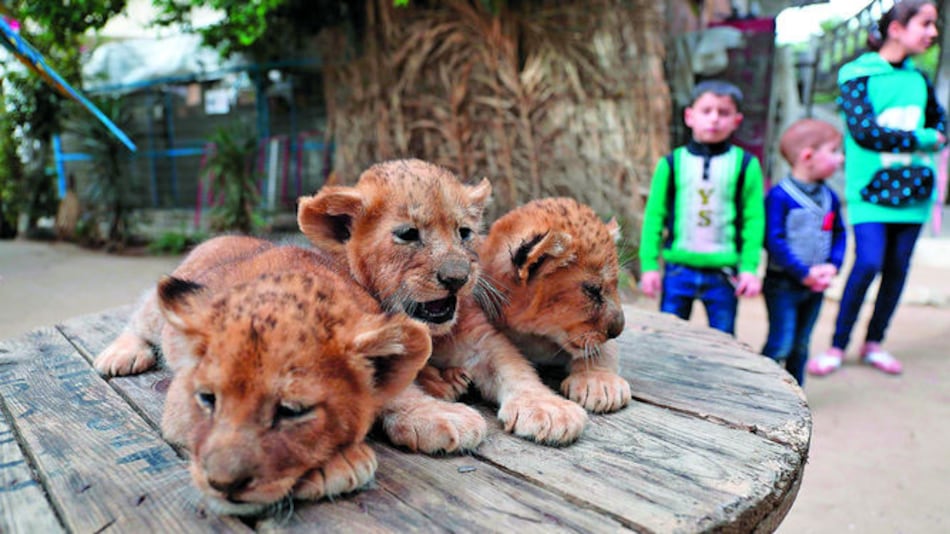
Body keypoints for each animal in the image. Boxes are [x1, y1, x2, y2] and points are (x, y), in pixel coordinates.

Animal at [94, 236, 431, 516]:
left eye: (292, 411)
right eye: (207, 399)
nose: (223, 485)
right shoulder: (177, 404)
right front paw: (340, 464)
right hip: (162, 306)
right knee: (140, 316)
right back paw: (120, 355)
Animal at [298, 159, 587, 451]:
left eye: (464, 232)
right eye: (408, 234)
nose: (457, 278)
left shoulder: (479, 337)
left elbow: (513, 365)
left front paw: (548, 408)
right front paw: (440, 415)